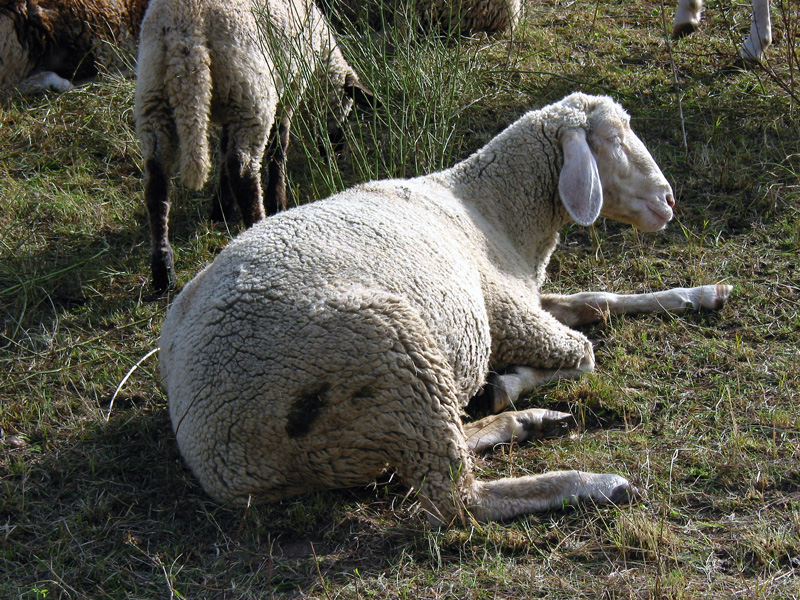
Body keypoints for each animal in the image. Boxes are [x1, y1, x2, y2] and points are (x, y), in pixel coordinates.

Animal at [134, 0, 376, 292]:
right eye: (348, 108)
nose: (336, 154)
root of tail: (188, 30)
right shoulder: (289, 85)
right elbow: (279, 143)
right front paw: (276, 200)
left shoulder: (229, 112)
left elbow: (223, 148)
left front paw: (221, 208)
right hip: (249, 93)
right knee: (243, 170)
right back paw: (257, 228)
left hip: (154, 95)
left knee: (156, 181)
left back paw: (163, 271)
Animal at [158, 94, 732, 524]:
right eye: (612, 140)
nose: (669, 201)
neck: (494, 211)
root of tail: (223, 465)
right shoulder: (509, 313)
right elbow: (585, 353)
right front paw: (512, 381)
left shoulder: (517, 301)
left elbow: (599, 302)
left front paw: (702, 294)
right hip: (391, 352)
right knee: (454, 497)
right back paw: (594, 482)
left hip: (369, 421)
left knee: (433, 455)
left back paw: (530, 422)